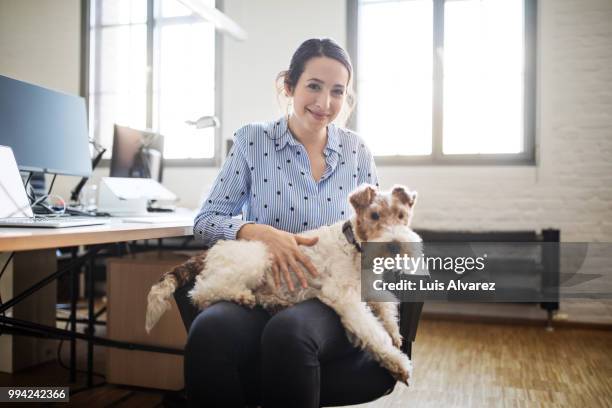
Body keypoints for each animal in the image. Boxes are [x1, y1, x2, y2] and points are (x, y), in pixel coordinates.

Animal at [145, 183, 420, 384]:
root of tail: (211, 250)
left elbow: (387, 306)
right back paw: (242, 297)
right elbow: (373, 332)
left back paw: (273, 303)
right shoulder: (343, 295)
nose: (396, 246)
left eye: (401, 215)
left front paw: (395, 333)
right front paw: (398, 363)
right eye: (374, 215)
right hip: (253, 261)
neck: (354, 245)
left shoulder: (370, 287)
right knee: (201, 291)